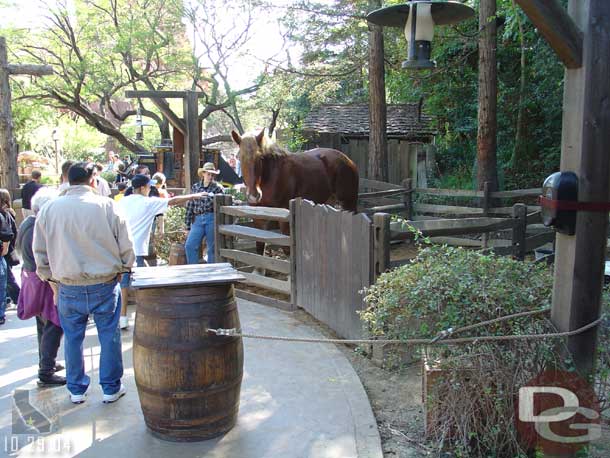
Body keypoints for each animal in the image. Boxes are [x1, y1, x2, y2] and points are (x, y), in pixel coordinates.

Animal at [230, 129, 358, 258]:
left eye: (260, 157)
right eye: (239, 157)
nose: (254, 196)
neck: (271, 176)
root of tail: (348, 160)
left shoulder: (284, 218)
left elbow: (287, 250)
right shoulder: (258, 218)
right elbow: (260, 247)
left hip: (349, 203)